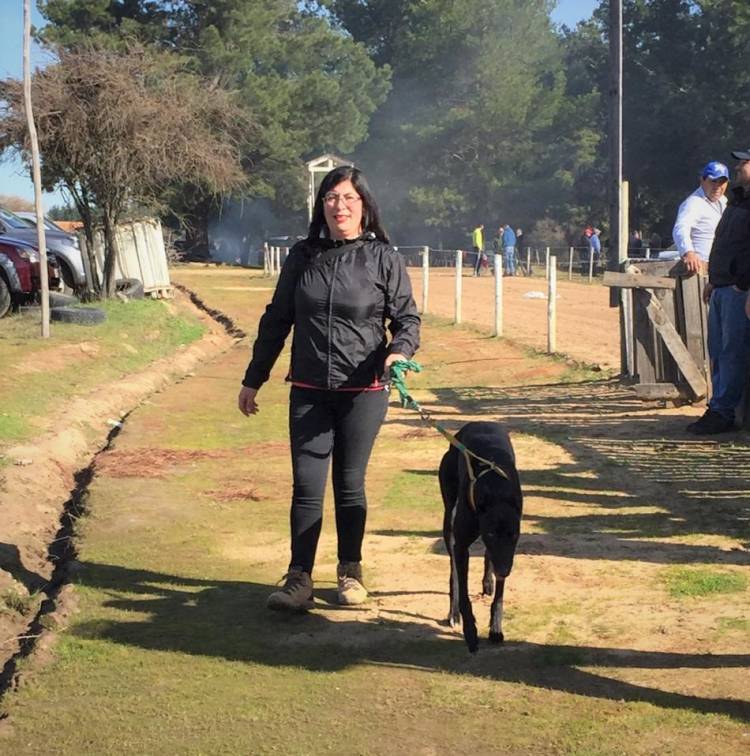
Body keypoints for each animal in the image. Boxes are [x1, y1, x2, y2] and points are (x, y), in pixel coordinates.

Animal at [438, 422, 524, 652]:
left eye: (514, 535)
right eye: (491, 533)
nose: (503, 571)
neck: (496, 489)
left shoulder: (507, 552)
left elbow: (500, 597)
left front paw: (495, 628)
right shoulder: (461, 546)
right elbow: (464, 593)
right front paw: (470, 632)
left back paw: (488, 582)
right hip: (449, 520)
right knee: (454, 573)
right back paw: (453, 613)